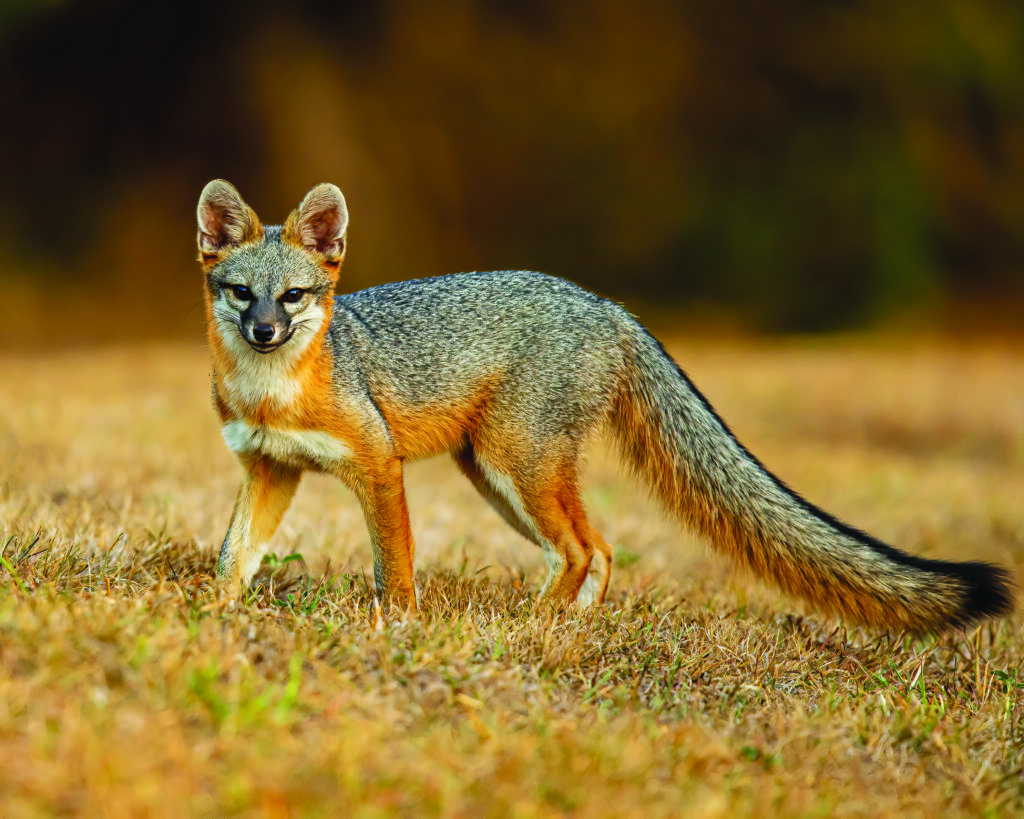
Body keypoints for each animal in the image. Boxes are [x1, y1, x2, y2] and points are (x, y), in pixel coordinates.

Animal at [195, 177, 1011, 626]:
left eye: (293, 296)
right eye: (240, 292)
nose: (264, 330)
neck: (275, 394)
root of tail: (607, 304)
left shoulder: (378, 464)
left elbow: (392, 565)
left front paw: (398, 625)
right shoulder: (271, 469)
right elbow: (235, 554)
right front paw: (214, 617)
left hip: (515, 467)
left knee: (586, 547)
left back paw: (537, 626)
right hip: (498, 480)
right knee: (601, 547)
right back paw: (572, 626)